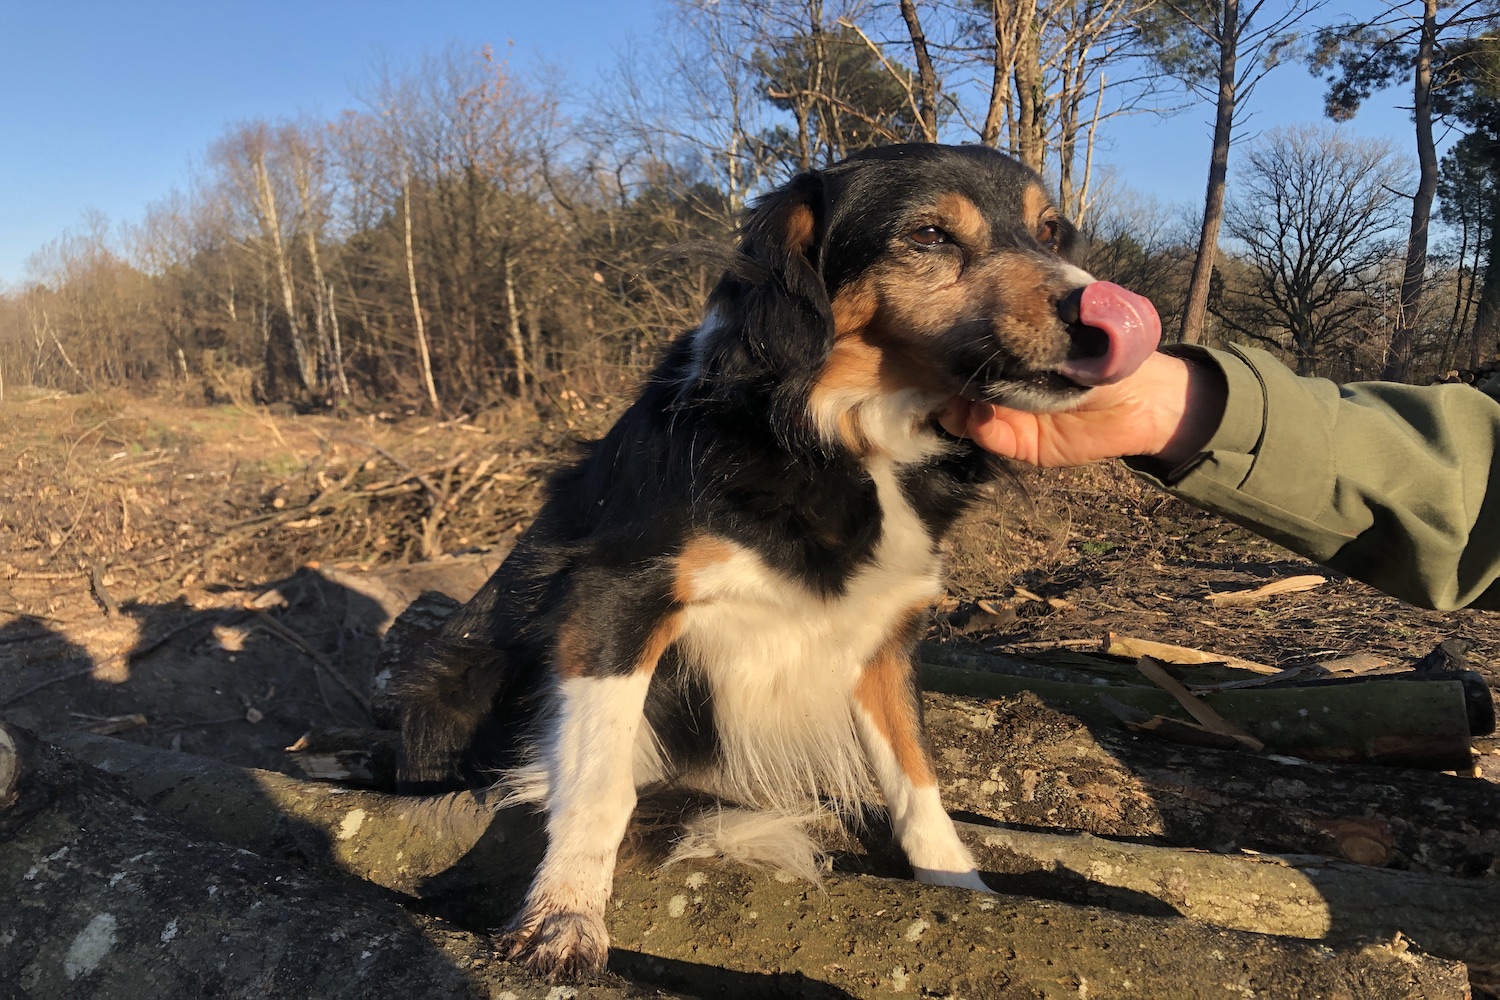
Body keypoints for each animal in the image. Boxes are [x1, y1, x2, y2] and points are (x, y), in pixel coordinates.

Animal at [396, 140, 1158, 977]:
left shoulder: (882, 637)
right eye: (928, 236)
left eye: (1049, 232)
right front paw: (563, 916)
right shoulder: (616, 597)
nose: (1107, 320)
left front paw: (964, 890)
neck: (840, 434)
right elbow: (600, 781)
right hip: (456, 677)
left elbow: (917, 778)